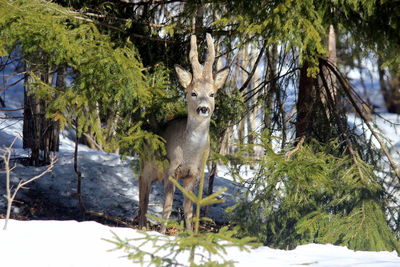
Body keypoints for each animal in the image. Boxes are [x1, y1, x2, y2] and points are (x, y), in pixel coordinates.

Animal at [138, 33, 230, 234]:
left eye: (212, 94)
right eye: (193, 93)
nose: (203, 108)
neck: (190, 153)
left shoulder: (193, 175)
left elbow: (189, 210)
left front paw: (190, 234)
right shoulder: (171, 170)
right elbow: (167, 207)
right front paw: (162, 233)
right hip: (147, 165)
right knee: (143, 194)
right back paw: (141, 226)